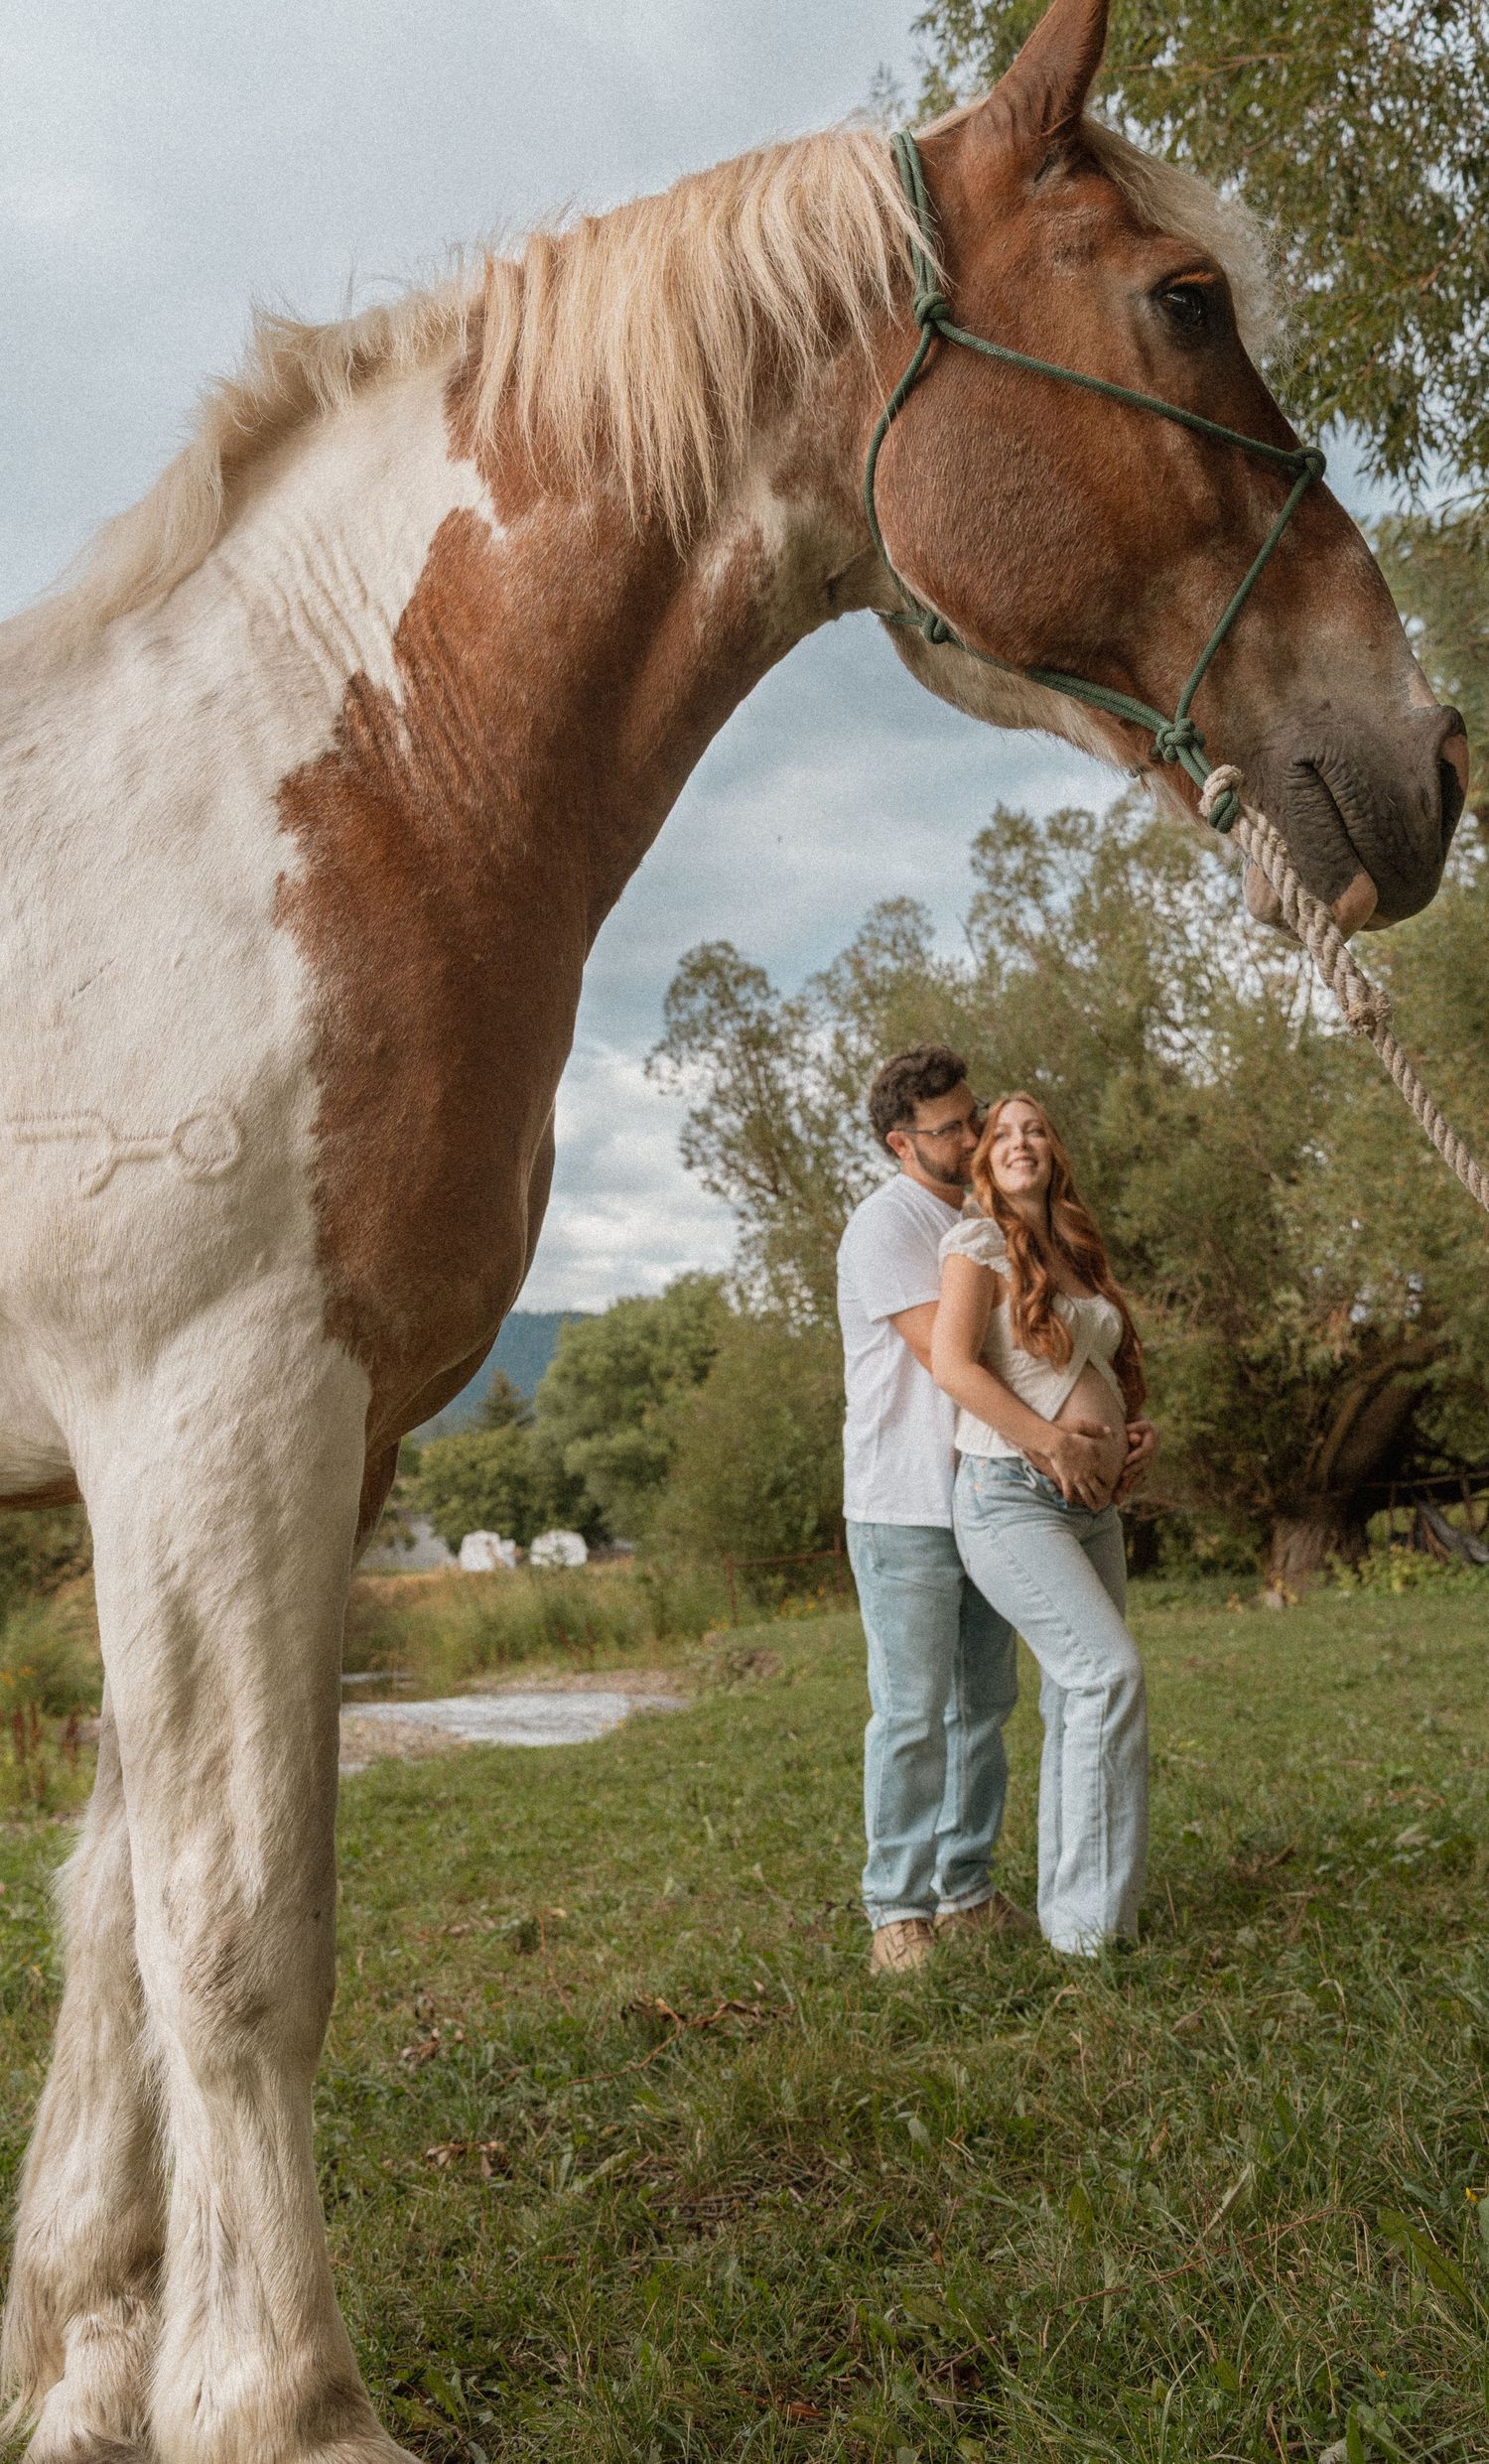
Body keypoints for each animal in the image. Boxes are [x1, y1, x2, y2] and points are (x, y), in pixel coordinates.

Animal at [0, 0, 1467, 2455]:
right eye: (1183, 299)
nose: (1429, 755)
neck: (286, 790)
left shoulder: (284, 1442)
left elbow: (113, 1900)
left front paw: (90, 2364)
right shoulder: (216, 1410)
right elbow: (234, 1920)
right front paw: (278, 2399)